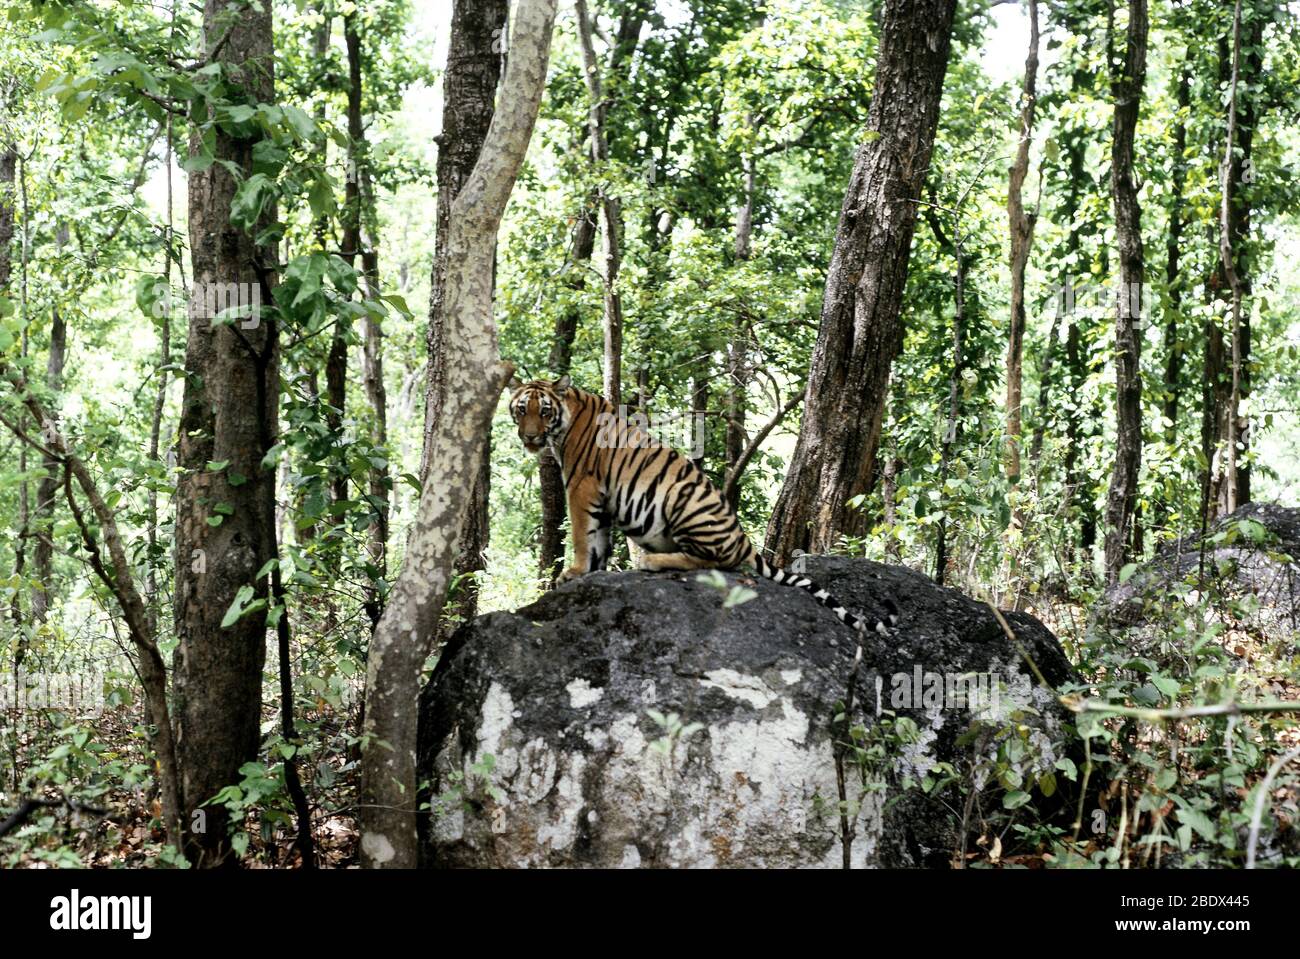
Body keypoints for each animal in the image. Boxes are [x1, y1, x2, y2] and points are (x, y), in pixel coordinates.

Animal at [501, 374, 899, 634]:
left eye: (544, 411)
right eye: (521, 410)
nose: (530, 437)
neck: (564, 424)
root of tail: (744, 539)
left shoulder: (582, 487)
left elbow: (583, 535)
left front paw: (573, 572)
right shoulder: (602, 497)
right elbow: (600, 540)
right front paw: (593, 573)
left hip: (683, 499)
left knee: (715, 562)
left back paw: (654, 561)